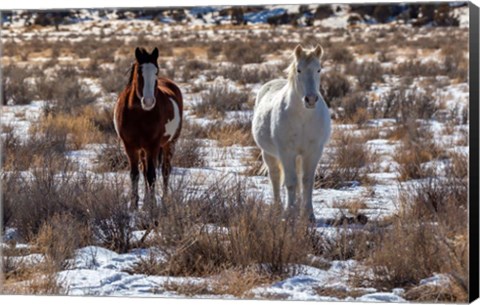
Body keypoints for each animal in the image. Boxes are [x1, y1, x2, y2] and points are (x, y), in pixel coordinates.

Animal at [114, 47, 184, 209]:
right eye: (139, 71)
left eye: (156, 71)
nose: (148, 101)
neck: (139, 114)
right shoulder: (130, 146)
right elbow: (135, 174)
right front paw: (134, 205)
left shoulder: (153, 145)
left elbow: (152, 175)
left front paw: (152, 206)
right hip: (143, 149)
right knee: (145, 170)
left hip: (169, 143)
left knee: (165, 170)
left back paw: (164, 199)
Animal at [253, 44, 332, 221]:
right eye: (299, 70)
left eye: (319, 69)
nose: (310, 99)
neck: (303, 118)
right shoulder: (286, 152)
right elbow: (290, 182)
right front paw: (289, 213)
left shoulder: (313, 151)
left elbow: (307, 181)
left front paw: (309, 215)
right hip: (269, 154)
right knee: (275, 177)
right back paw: (278, 209)